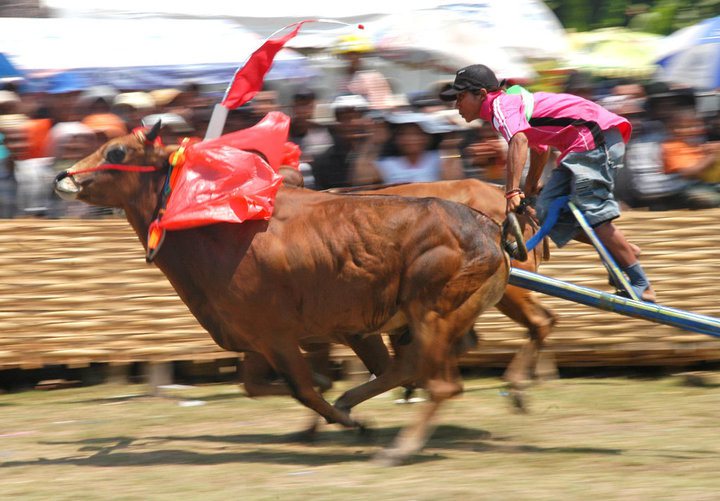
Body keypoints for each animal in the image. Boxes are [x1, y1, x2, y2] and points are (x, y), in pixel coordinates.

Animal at [53, 126, 510, 464]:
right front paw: (332, 404)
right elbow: (257, 386)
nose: (62, 177)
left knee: (440, 384)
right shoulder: (255, 338)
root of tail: (488, 228)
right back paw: (354, 403)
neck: (217, 224)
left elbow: (301, 388)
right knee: (406, 370)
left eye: (117, 149)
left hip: (433, 315)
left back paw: (398, 447)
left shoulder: (276, 334)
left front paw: (346, 419)